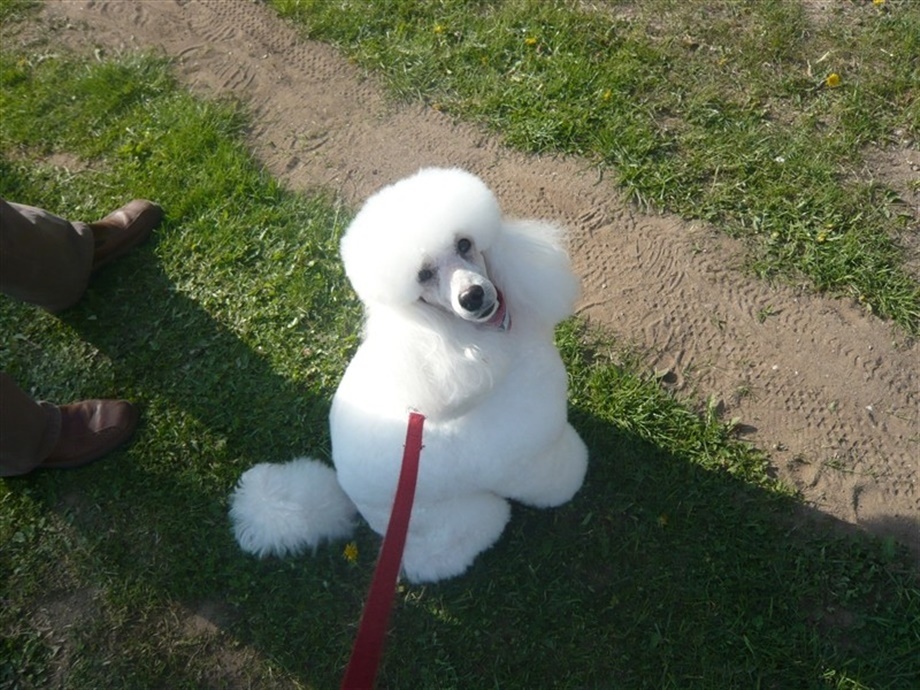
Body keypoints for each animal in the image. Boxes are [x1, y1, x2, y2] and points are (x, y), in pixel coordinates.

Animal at [230, 167, 588, 583]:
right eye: (424, 275)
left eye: (464, 244)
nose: (472, 297)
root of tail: (346, 494)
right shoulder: (522, 462)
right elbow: (553, 478)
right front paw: (572, 480)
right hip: (455, 520)